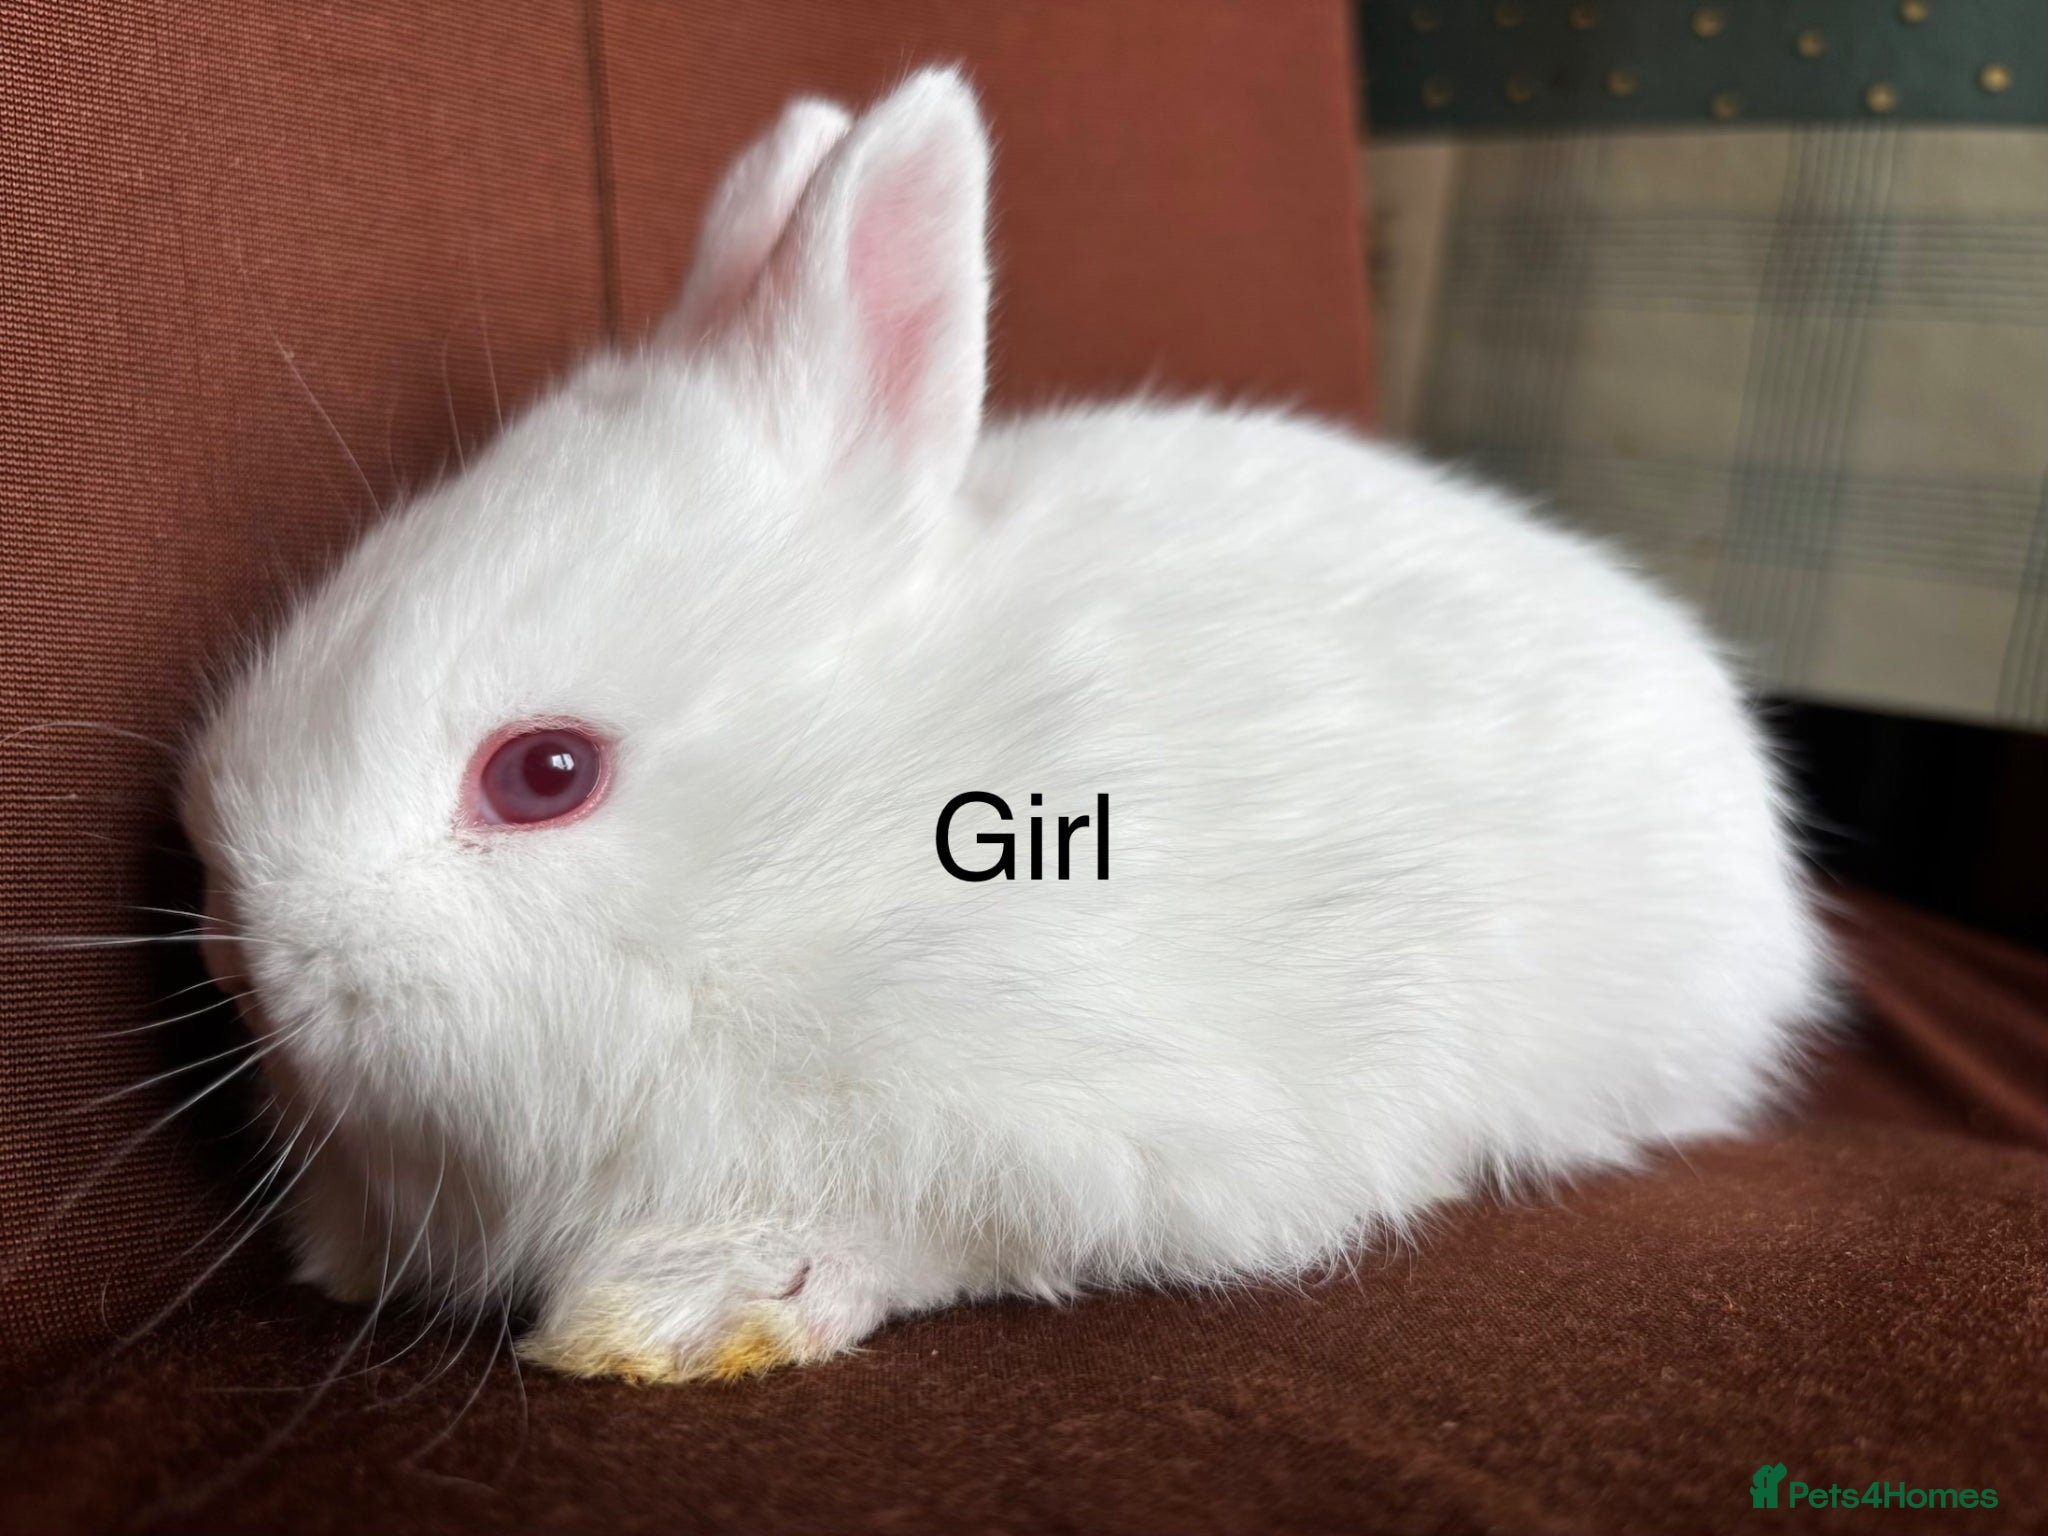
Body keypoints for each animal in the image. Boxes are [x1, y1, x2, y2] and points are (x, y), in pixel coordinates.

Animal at [182, 66, 1832, 1384]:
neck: (828, 856)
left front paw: (679, 1312)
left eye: (545, 774)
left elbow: (912, 1227)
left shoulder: (1080, 1120)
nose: (241, 958)